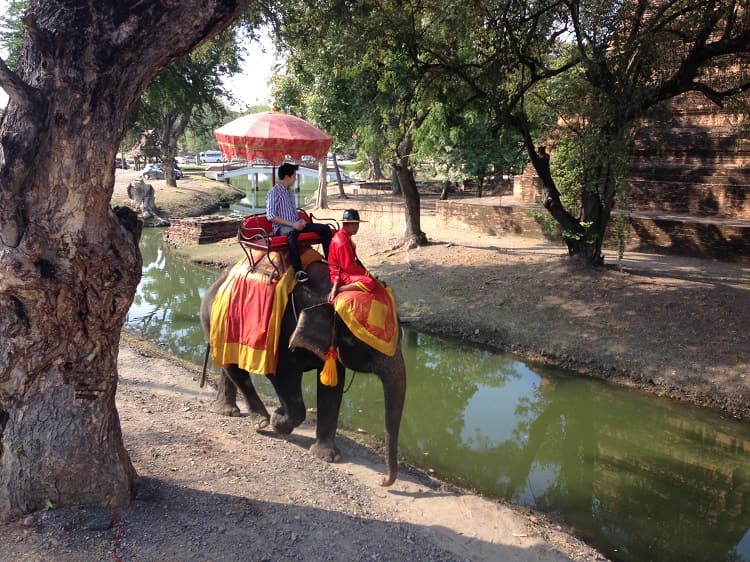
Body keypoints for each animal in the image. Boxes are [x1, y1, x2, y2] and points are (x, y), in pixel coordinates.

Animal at [200, 260, 408, 484]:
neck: (331, 291)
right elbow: (283, 376)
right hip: (215, 320)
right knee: (234, 368)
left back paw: (228, 411)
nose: (383, 481)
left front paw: (327, 456)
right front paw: (278, 421)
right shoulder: (282, 334)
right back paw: (261, 421)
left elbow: (332, 388)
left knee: (228, 365)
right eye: (360, 343)